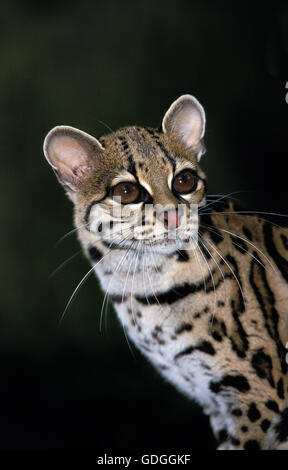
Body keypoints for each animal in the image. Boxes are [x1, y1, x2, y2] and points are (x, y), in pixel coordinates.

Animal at [43, 94, 288, 448]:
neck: (144, 285)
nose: (173, 216)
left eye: (184, 181)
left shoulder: (255, 399)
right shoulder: (217, 402)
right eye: (127, 192)